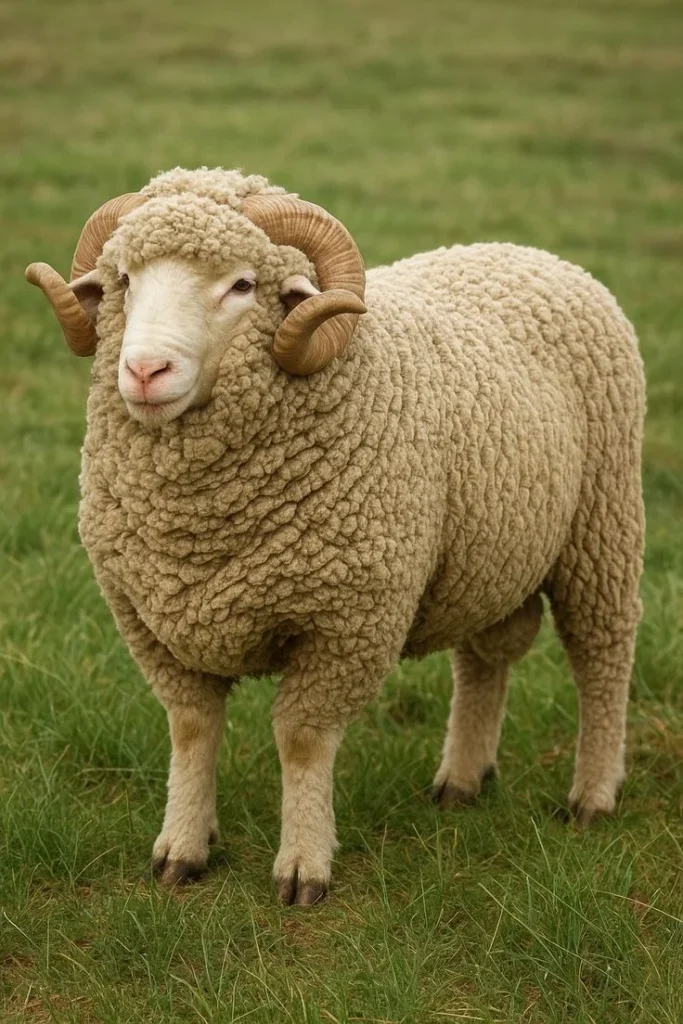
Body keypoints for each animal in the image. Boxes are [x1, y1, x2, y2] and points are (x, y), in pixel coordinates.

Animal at [26, 166, 645, 905]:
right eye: (123, 279)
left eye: (243, 285)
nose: (146, 372)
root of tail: (531, 254)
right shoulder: (146, 617)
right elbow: (192, 728)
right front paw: (181, 848)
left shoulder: (347, 621)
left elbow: (301, 738)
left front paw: (303, 866)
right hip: (487, 552)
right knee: (485, 656)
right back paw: (462, 780)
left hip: (602, 522)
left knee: (601, 654)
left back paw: (593, 795)